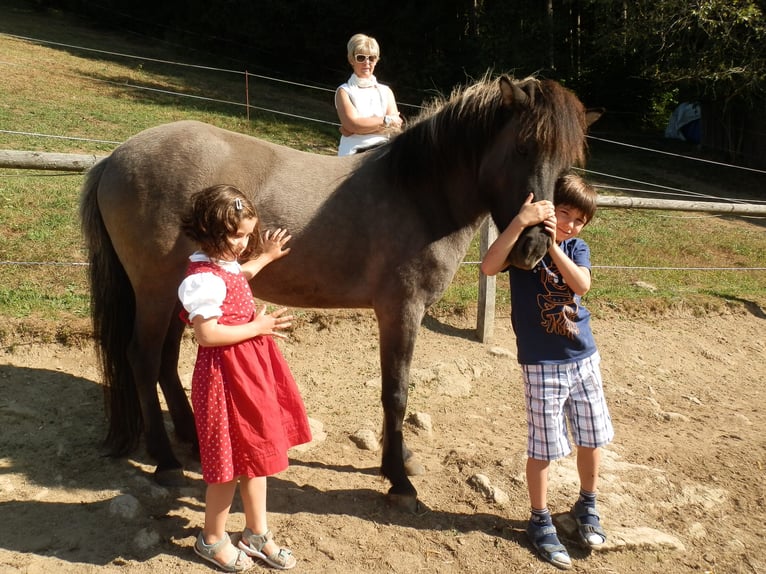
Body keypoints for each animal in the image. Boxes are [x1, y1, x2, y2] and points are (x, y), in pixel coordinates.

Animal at [80, 74, 600, 510]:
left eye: (566, 161)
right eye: (522, 147)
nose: (535, 246)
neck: (418, 194)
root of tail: (114, 158)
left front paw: (401, 462)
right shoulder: (400, 311)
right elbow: (396, 392)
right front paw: (398, 481)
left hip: (179, 290)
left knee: (165, 361)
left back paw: (189, 438)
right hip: (154, 289)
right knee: (143, 358)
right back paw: (166, 460)